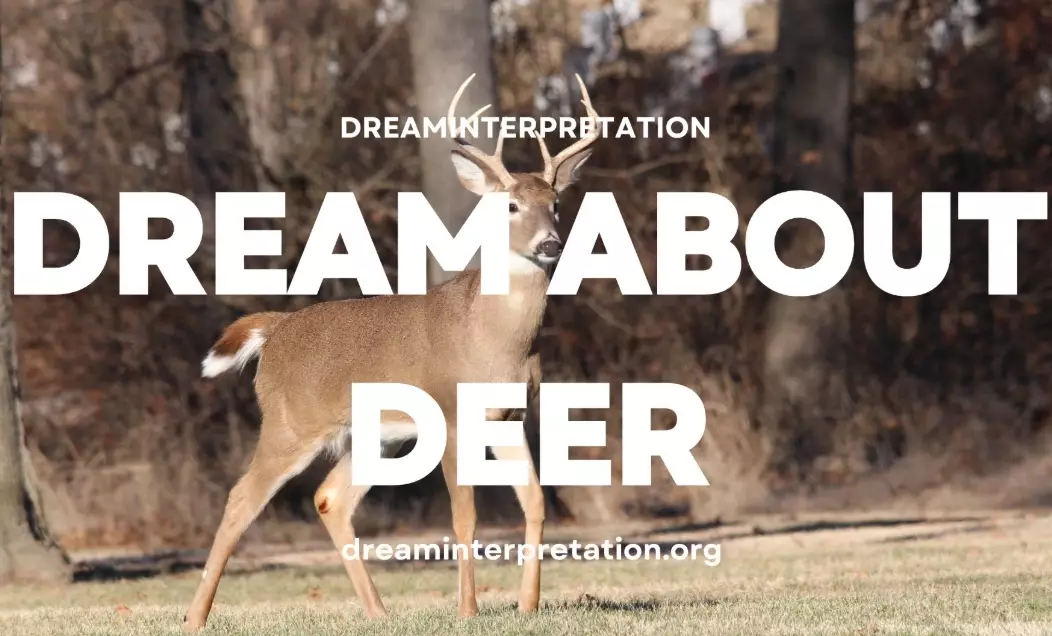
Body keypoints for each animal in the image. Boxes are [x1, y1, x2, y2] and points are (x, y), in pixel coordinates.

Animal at [182, 73, 602, 631]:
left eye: (556, 203)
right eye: (509, 205)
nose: (551, 244)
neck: (497, 341)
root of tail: (276, 331)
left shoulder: (509, 415)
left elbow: (534, 503)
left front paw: (527, 604)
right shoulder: (450, 413)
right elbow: (464, 516)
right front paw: (468, 610)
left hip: (373, 436)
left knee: (329, 498)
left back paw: (378, 611)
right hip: (291, 423)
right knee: (240, 498)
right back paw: (195, 617)